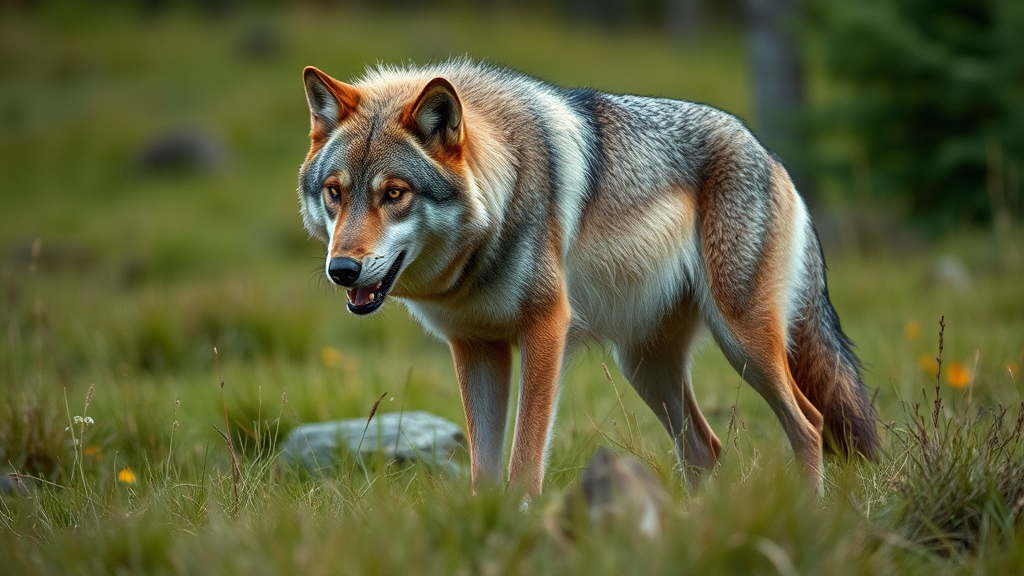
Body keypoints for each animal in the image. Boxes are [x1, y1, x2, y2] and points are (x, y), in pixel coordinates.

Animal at [292, 58, 876, 494]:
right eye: (336, 193)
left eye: (394, 193)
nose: (342, 270)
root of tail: (769, 153)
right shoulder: (476, 347)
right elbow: (484, 469)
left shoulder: (546, 330)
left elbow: (525, 461)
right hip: (645, 367)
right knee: (705, 450)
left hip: (743, 344)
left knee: (809, 425)